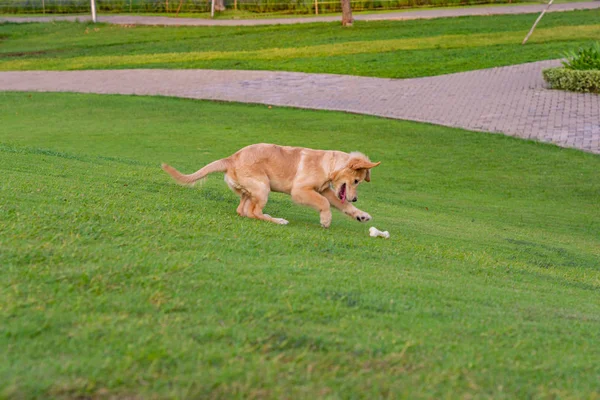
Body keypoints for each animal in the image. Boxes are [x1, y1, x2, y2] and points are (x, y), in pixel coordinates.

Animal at [163, 143, 380, 228]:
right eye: (356, 181)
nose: (355, 198)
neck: (328, 164)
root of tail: (231, 158)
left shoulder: (325, 190)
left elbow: (341, 204)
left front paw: (361, 215)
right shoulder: (300, 191)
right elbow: (325, 204)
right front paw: (325, 220)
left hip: (252, 190)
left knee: (243, 210)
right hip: (263, 187)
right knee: (254, 212)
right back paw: (278, 220)